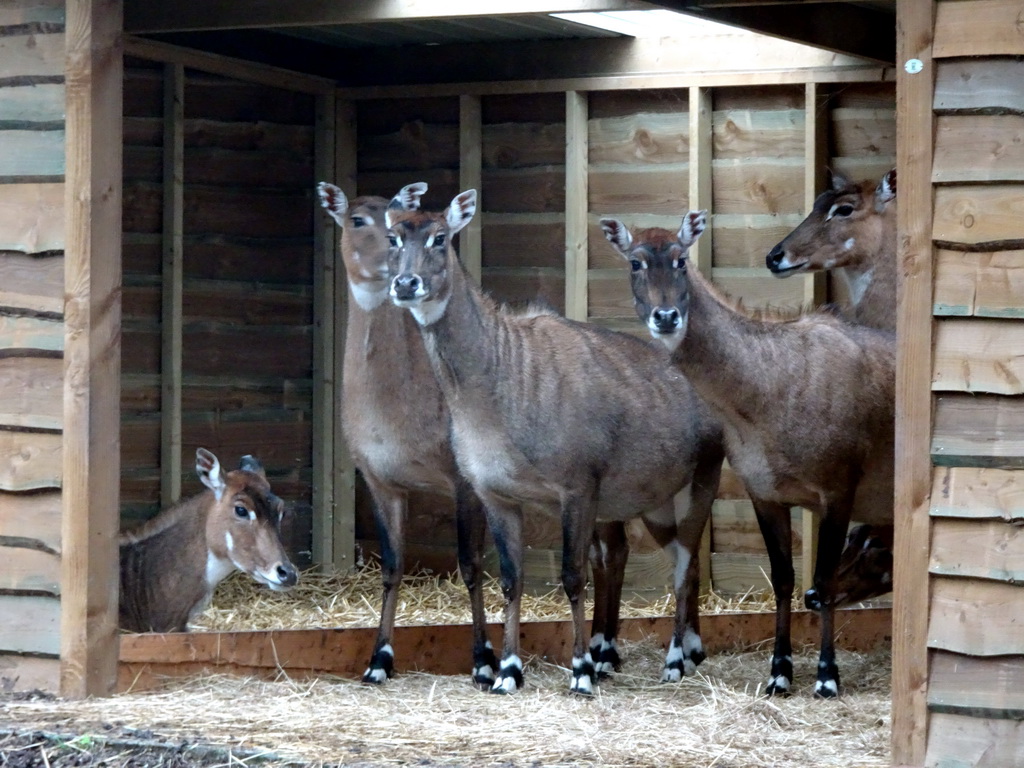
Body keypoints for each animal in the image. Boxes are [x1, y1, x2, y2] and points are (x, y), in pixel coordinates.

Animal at [317, 182, 497, 692]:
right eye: (358, 218)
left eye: (400, 212)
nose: (400, 278)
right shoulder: (379, 479)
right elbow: (392, 565)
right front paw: (378, 661)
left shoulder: (463, 479)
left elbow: (470, 563)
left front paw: (483, 662)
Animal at [385, 191, 729, 696]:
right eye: (393, 237)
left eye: (440, 237)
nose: (405, 284)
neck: (498, 388)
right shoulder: (496, 492)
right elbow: (512, 578)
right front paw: (507, 670)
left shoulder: (578, 485)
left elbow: (573, 575)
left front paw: (582, 671)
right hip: (655, 501)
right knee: (679, 558)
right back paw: (689, 650)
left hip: (703, 476)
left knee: (685, 562)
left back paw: (672, 661)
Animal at [602, 214, 892, 700]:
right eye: (635, 262)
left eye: (681, 260)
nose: (667, 317)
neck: (768, 389)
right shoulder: (765, 493)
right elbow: (784, 578)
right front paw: (779, 673)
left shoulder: (838, 490)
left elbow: (823, 579)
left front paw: (827, 677)